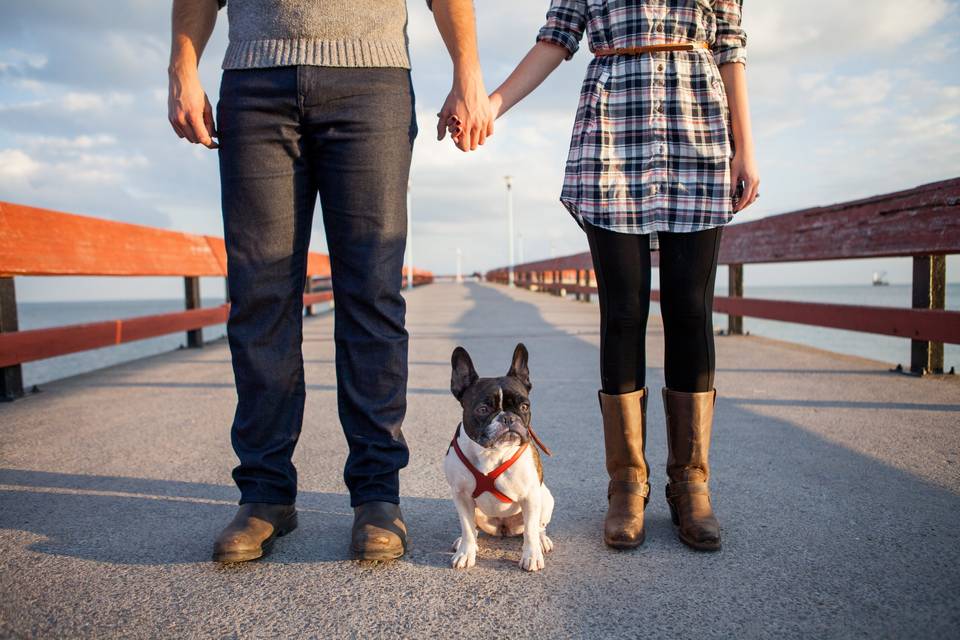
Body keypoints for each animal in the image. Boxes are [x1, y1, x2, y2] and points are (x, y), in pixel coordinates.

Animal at [444, 342, 556, 572]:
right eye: (483, 409)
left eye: (524, 406)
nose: (508, 418)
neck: (491, 452)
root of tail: (504, 527)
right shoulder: (460, 495)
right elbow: (467, 527)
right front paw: (466, 552)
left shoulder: (530, 496)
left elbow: (530, 531)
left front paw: (531, 556)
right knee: (473, 527)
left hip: (545, 498)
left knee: (538, 527)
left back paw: (542, 541)